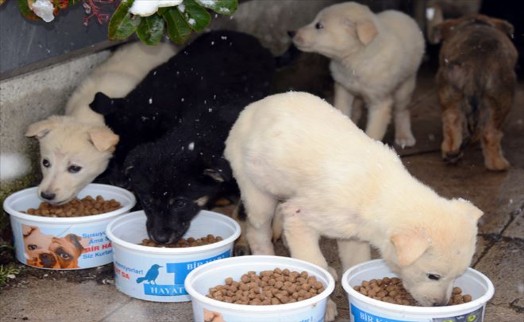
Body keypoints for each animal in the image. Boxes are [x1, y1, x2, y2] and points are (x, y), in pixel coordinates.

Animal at [225, 92, 484, 320]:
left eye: (459, 275)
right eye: (433, 276)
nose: (441, 305)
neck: (379, 192)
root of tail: (253, 106)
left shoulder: (352, 235)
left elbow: (355, 263)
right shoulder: (302, 218)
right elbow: (314, 262)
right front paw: (327, 307)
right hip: (256, 191)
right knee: (258, 230)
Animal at [292, 0, 424, 147]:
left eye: (319, 26)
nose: (292, 33)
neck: (355, 60)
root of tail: (402, 15)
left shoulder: (380, 102)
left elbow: (373, 132)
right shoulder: (343, 89)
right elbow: (342, 113)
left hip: (405, 85)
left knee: (402, 111)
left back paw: (404, 136)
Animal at [432, 14, 516, 171]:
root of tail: (474, 60)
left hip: (449, 92)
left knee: (451, 123)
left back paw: (451, 152)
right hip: (500, 98)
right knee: (490, 132)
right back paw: (497, 164)